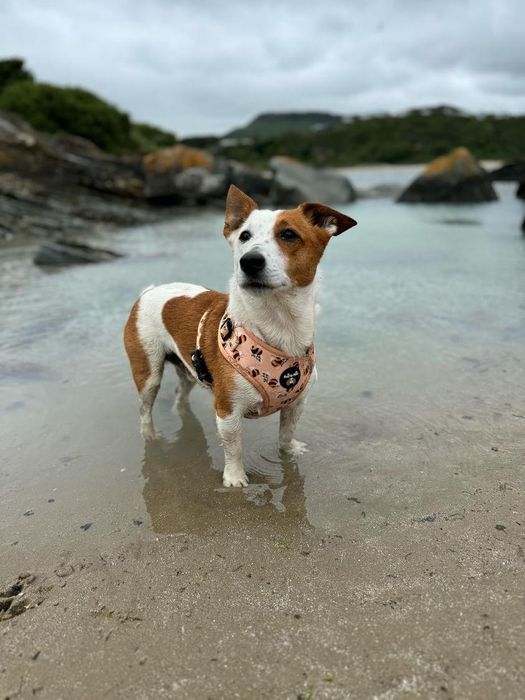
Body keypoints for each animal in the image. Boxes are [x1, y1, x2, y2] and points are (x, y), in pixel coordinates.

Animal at [124, 186, 356, 486]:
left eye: (289, 234)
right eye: (244, 236)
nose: (249, 261)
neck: (279, 326)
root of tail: (148, 292)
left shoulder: (296, 404)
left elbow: (286, 433)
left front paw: (288, 454)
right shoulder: (228, 412)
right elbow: (234, 448)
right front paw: (235, 478)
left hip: (189, 369)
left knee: (180, 391)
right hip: (148, 372)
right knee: (144, 409)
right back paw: (151, 436)